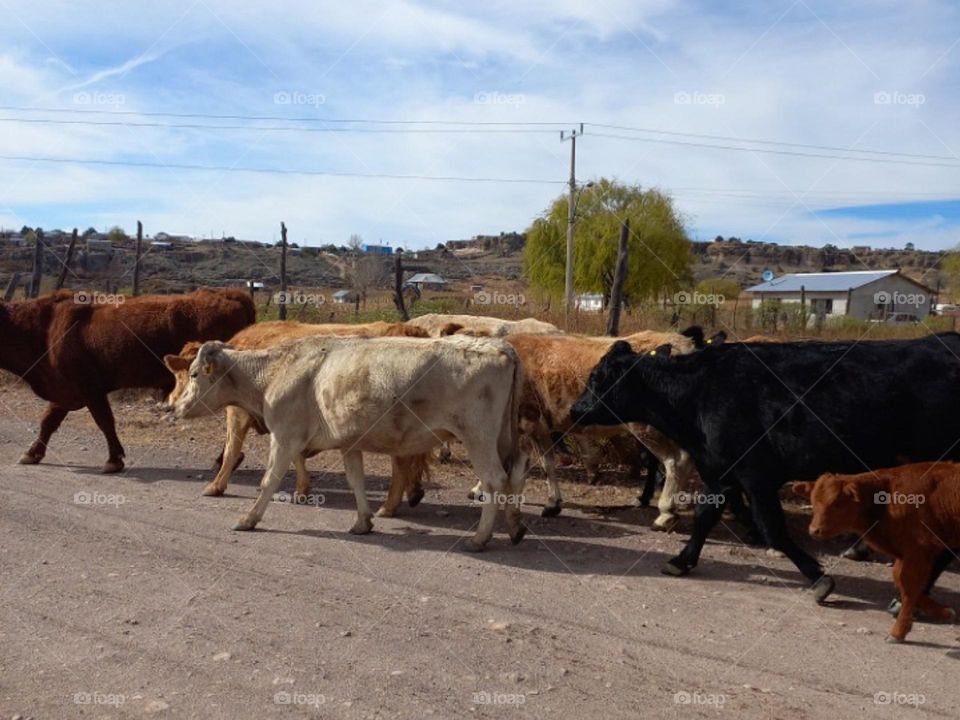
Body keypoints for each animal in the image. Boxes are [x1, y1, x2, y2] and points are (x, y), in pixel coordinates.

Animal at [1, 288, 254, 473]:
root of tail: (230, 294)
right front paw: (32, 453)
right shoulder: (67, 392)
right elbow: (48, 422)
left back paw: (224, 460)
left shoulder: (90, 391)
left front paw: (113, 460)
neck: (45, 326)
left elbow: (104, 422)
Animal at [162, 320, 430, 509]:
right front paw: (302, 489)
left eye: (186, 375)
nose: (170, 404)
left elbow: (231, 451)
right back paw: (412, 493)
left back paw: (391, 505)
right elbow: (296, 456)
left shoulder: (238, 414)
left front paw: (216, 486)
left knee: (403, 462)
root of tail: (408, 328)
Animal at [172, 335, 528, 550]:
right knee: (515, 474)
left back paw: (481, 538)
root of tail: (499, 346)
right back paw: (515, 528)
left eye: (194, 374)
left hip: (478, 437)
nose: (175, 407)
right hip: (503, 437)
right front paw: (362, 522)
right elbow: (356, 480)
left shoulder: (285, 436)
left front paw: (249, 519)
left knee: (495, 479)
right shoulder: (350, 443)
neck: (276, 370)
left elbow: (269, 480)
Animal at [570, 333, 960, 603]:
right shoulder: (720, 471)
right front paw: (682, 560)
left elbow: (773, 529)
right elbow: (705, 517)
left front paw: (818, 578)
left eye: (597, 377)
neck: (699, 391)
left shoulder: (756, 475)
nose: (575, 409)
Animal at [794, 464, 960, 642]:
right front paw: (944, 611)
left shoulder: (917, 551)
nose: (814, 530)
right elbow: (900, 581)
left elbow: (909, 587)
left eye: (836, 504)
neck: (886, 499)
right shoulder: (907, 555)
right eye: (813, 502)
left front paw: (898, 632)